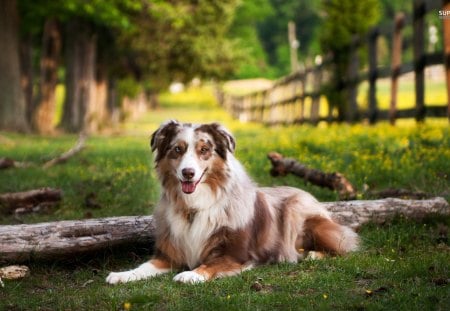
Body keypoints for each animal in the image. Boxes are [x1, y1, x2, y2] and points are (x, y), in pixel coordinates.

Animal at [106, 121, 358, 286]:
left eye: (204, 150)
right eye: (177, 149)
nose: (188, 173)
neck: (194, 207)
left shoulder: (236, 255)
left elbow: (210, 265)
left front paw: (191, 274)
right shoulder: (170, 255)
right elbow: (144, 267)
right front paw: (122, 275)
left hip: (300, 213)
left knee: (346, 246)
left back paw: (313, 254)